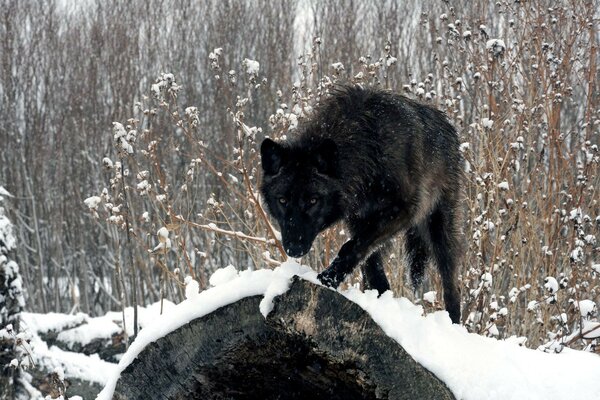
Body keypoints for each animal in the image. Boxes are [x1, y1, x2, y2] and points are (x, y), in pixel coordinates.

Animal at [258, 86, 464, 324]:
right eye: (282, 200)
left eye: (312, 201)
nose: (294, 248)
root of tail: (448, 126)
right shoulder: (358, 220)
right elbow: (369, 263)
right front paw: (378, 300)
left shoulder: (403, 210)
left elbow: (352, 247)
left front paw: (328, 278)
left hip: (439, 229)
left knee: (451, 283)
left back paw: (453, 324)